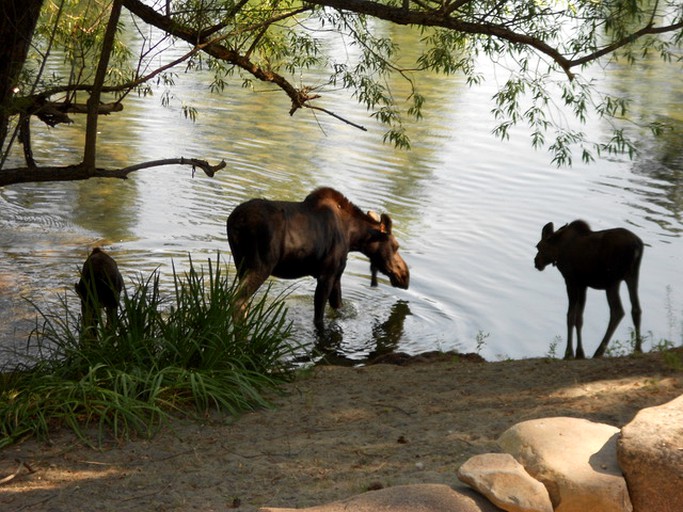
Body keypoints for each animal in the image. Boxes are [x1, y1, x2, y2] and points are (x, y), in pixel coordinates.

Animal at [228, 187, 412, 328]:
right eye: (395, 246)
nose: (405, 275)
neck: (353, 238)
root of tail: (236, 221)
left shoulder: (336, 275)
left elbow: (338, 306)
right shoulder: (327, 274)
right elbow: (319, 317)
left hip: (240, 262)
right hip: (261, 266)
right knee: (237, 301)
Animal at [536, 220, 644, 360]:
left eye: (538, 246)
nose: (536, 262)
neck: (557, 251)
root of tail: (636, 247)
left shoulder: (571, 280)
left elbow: (570, 316)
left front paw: (568, 353)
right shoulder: (583, 285)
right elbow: (579, 318)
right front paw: (579, 353)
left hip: (612, 281)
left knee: (617, 311)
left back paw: (599, 352)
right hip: (632, 275)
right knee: (636, 309)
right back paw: (638, 349)